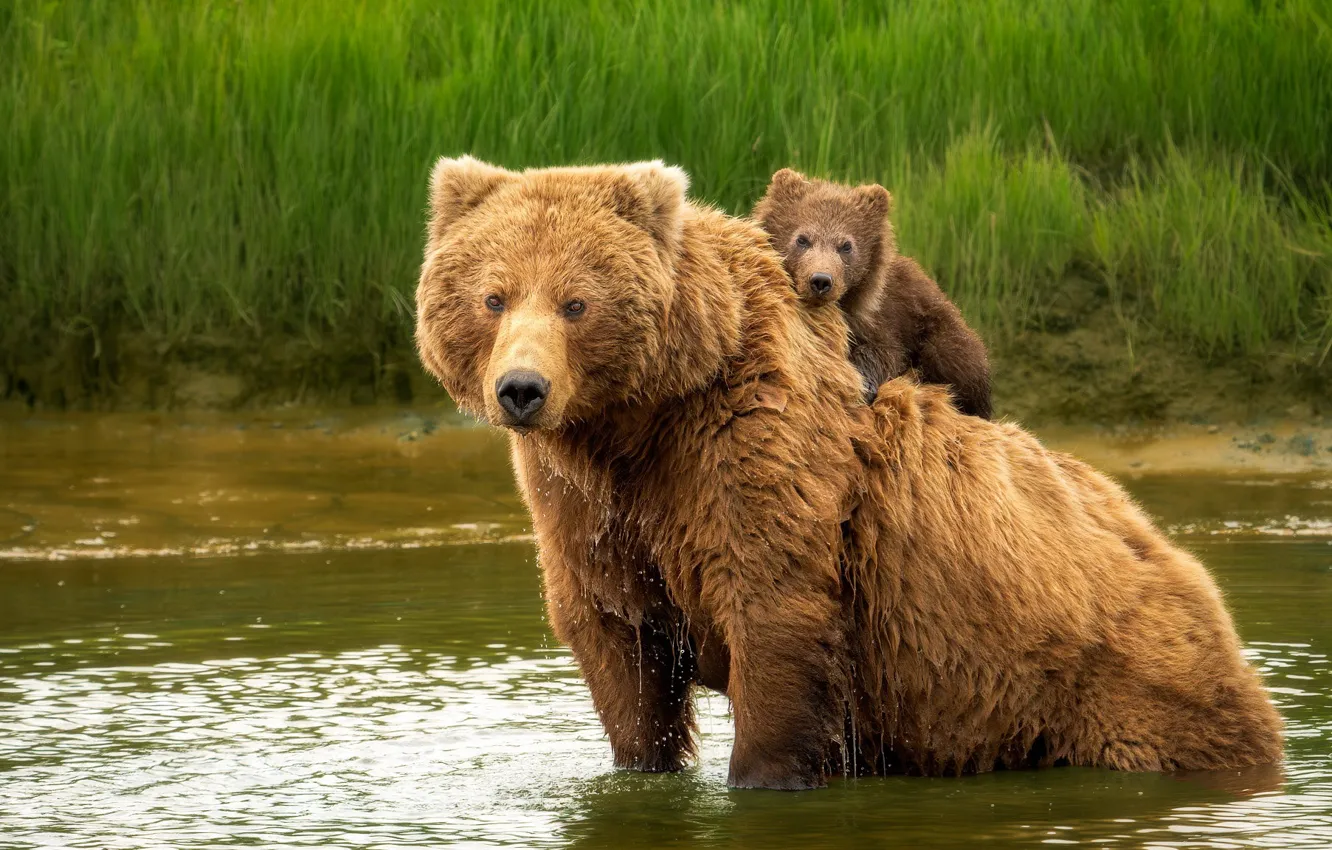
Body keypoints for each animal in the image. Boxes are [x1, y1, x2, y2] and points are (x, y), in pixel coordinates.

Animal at [753, 168, 993, 418]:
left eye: (846, 245)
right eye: (802, 239)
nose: (820, 280)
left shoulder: (886, 318)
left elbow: (885, 352)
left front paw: (864, 383)